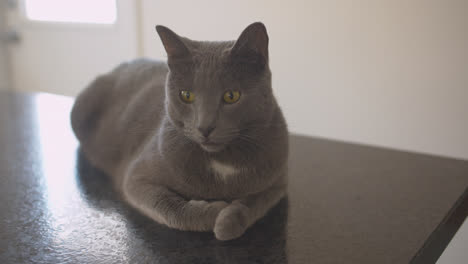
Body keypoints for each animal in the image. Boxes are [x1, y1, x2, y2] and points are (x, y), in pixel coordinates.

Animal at [70, 22, 288, 241]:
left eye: (231, 96)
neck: (222, 161)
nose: (204, 127)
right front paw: (215, 211)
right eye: (186, 95)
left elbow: (254, 204)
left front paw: (228, 221)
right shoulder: (135, 177)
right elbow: (170, 208)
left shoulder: (277, 182)